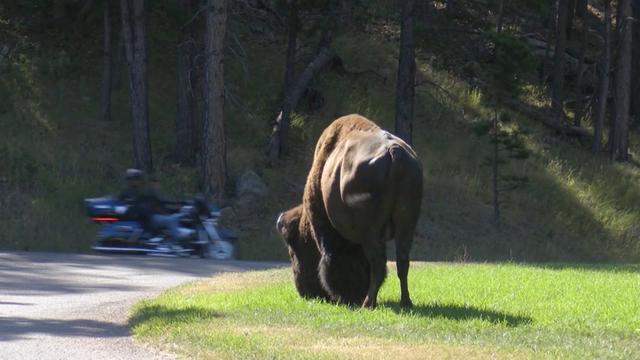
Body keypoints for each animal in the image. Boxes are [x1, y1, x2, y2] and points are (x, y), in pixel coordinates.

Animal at [278, 114, 422, 308]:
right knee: (402, 261)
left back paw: (368, 303)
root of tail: (395, 153)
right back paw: (405, 302)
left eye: (294, 252)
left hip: (371, 232)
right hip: (406, 225)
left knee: (378, 263)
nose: (305, 292)